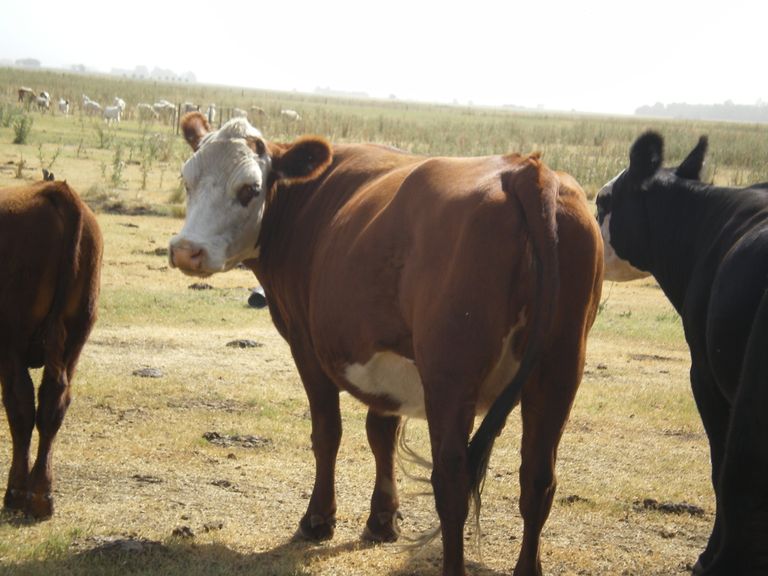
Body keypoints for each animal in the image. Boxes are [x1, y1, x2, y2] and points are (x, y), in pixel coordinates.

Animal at [0, 179, 102, 516]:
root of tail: (57, 191)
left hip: (11, 338)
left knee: (19, 404)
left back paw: (17, 491)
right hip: (75, 335)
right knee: (53, 401)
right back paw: (41, 494)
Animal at [170, 113, 608, 576]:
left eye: (249, 189)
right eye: (187, 180)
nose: (186, 251)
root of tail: (527, 171)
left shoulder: (306, 344)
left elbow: (327, 432)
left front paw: (318, 519)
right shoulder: (386, 353)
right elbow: (380, 431)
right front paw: (382, 519)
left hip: (450, 376)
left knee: (452, 481)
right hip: (559, 371)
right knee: (538, 480)